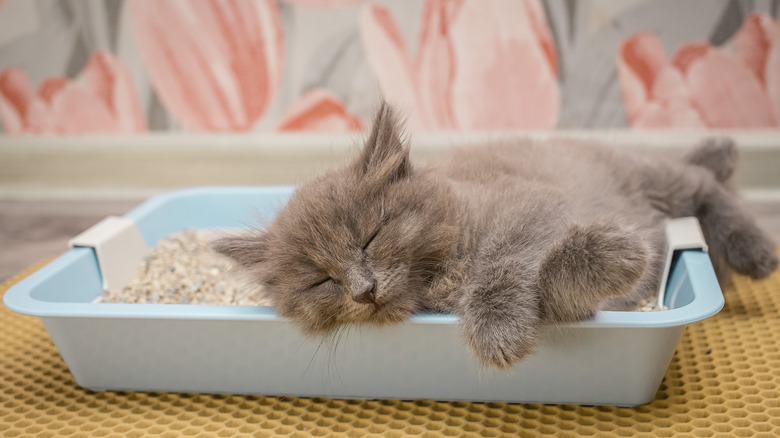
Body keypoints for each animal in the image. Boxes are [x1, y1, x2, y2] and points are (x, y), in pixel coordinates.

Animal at [212, 102, 772, 370]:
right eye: (320, 282)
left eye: (370, 237)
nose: (363, 291)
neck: (438, 279)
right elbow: (557, 292)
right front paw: (615, 256)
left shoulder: (529, 204)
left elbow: (505, 261)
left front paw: (496, 324)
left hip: (650, 177)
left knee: (703, 186)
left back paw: (754, 243)